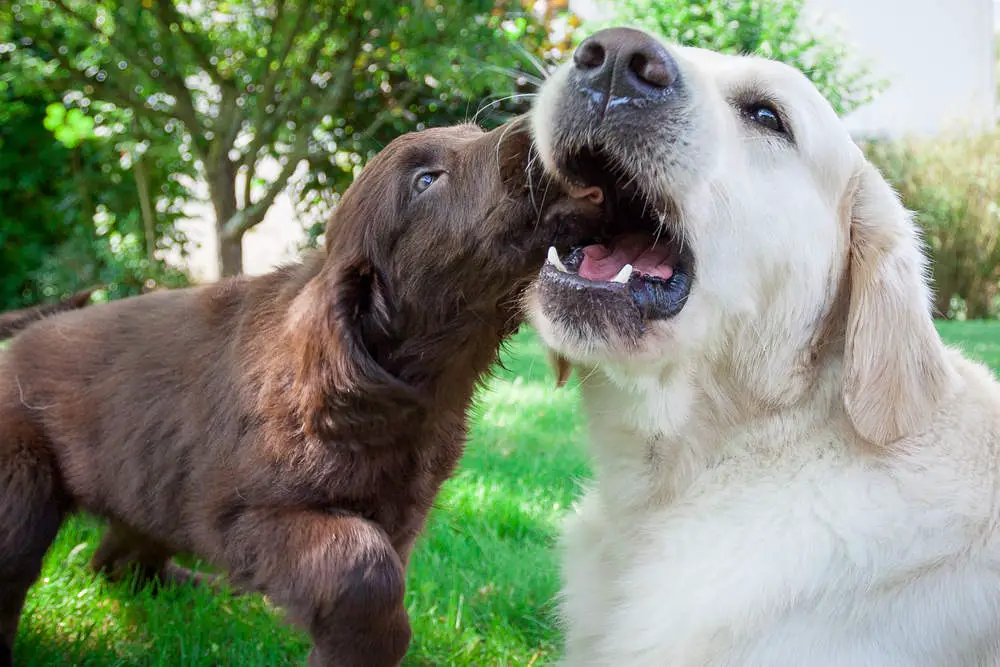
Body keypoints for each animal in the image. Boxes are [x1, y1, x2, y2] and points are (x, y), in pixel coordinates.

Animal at [0, 121, 600, 667]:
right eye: (426, 181)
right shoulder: (244, 514)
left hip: (149, 485)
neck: (423, 389)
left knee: (119, 560)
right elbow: (364, 570)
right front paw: (366, 647)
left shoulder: (402, 514)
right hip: (24, 481)